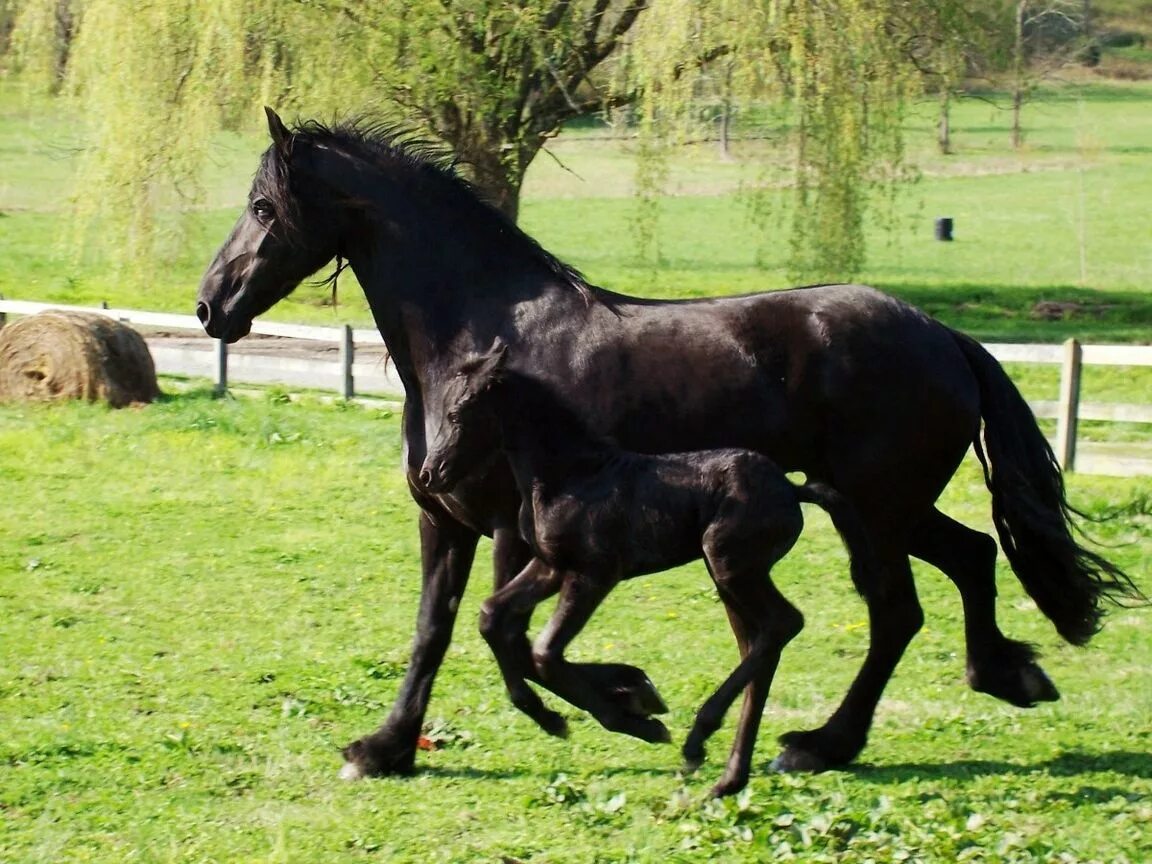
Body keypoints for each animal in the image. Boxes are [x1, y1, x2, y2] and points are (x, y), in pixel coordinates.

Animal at [419, 343, 866, 797]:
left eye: (457, 413)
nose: (428, 475)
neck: (569, 475)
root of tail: (791, 489)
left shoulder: (594, 574)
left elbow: (545, 652)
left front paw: (638, 717)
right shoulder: (549, 567)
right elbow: (493, 617)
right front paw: (563, 714)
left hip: (730, 566)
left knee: (782, 623)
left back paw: (698, 739)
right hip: (732, 574)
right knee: (764, 641)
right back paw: (727, 777)